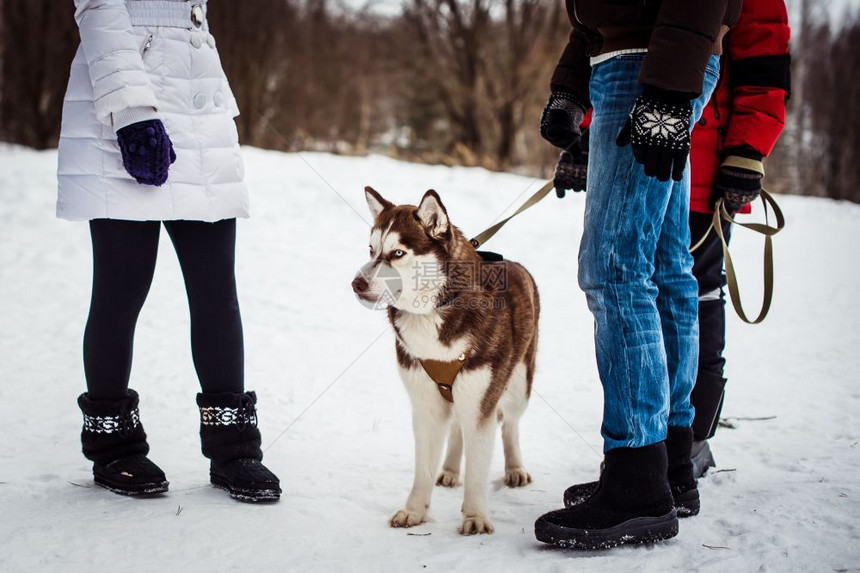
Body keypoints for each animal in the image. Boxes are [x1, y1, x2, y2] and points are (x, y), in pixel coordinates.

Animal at [350, 189, 536, 536]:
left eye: (397, 253)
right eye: (371, 249)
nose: (356, 283)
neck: (431, 314)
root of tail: (516, 264)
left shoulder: (481, 401)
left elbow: (478, 466)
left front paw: (475, 516)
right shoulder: (425, 404)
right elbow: (423, 467)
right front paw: (414, 511)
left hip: (518, 385)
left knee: (510, 424)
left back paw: (515, 468)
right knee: (458, 430)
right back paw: (449, 469)